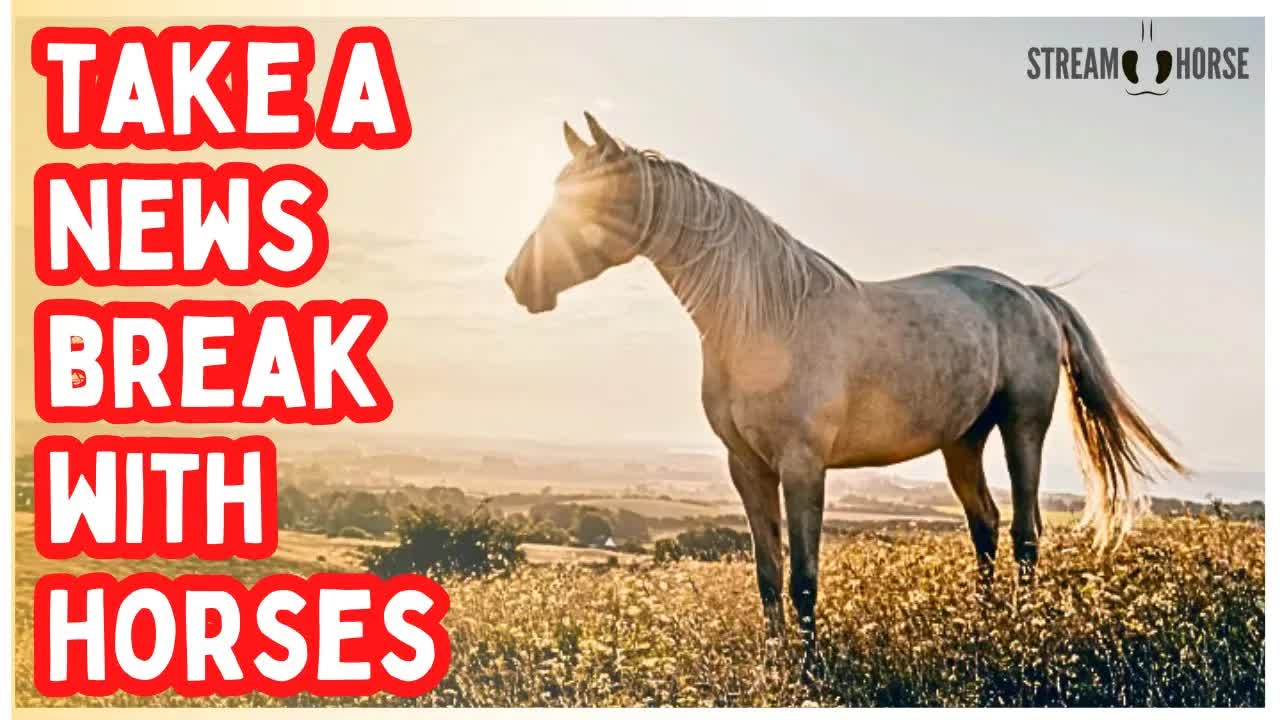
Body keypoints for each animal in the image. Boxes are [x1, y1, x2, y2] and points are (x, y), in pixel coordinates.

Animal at [504, 113, 1186, 674]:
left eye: (593, 198)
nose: (517, 282)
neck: (765, 319)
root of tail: (1031, 294)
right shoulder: (746, 467)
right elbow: (767, 572)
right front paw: (774, 666)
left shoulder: (803, 465)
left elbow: (804, 576)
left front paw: (809, 670)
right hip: (961, 442)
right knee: (986, 526)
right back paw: (984, 624)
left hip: (1023, 428)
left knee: (1024, 531)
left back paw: (1019, 629)